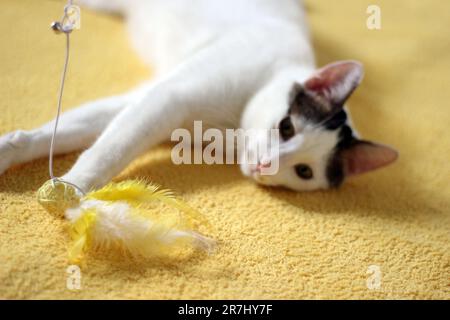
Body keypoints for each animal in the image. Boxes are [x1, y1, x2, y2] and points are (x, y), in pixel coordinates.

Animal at [0, 0, 398, 192]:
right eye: (286, 127)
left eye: (304, 171)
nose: (266, 165)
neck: (231, 128)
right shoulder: (170, 96)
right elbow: (111, 149)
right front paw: (74, 188)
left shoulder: (148, 96)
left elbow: (79, 128)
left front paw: (13, 150)